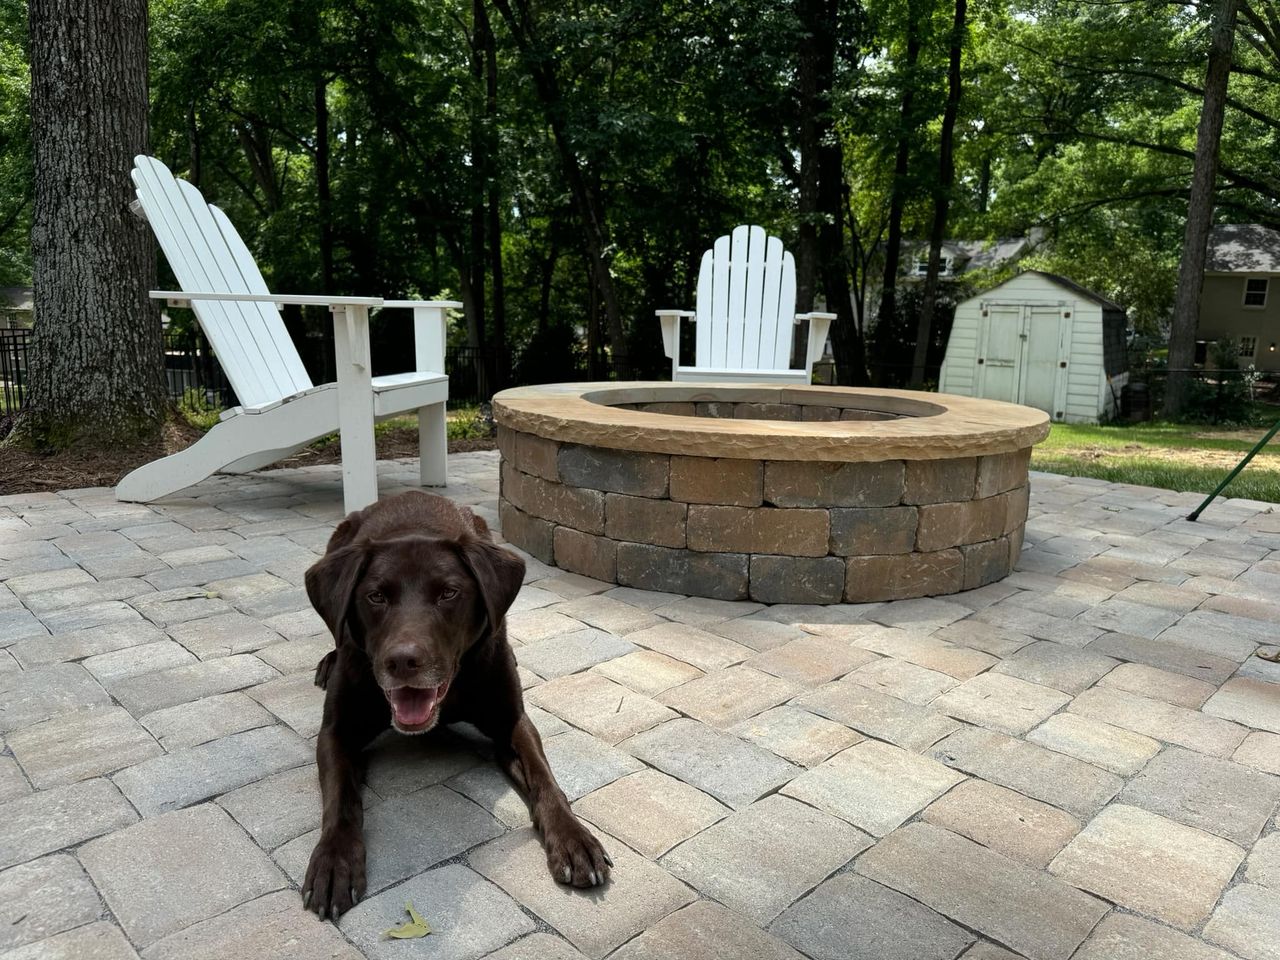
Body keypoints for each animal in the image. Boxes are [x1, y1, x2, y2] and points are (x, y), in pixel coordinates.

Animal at [299, 491, 609, 921]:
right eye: (376, 596)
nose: (403, 661)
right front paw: (333, 860)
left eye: (448, 593)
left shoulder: (512, 721)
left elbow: (545, 779)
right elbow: (340, 798)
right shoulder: (336, 732)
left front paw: (574, 838)